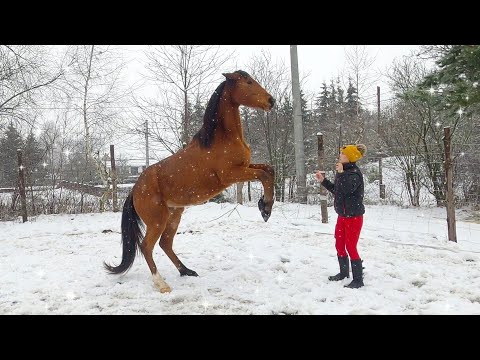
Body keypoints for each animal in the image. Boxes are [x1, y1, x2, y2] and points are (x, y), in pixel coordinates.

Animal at [106, 70, 278, 292]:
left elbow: (269, 170)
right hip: (158, 219)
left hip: (174, 215)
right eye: (248, 82)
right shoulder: (230, 174)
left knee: (165, 244)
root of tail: (134, 189)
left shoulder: (245, 167)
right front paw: (265, 209)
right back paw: (162, 284)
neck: (222, 139)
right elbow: (263, 175)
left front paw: (265, 206)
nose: (271, 101)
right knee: (147, 246)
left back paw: (186, 271)